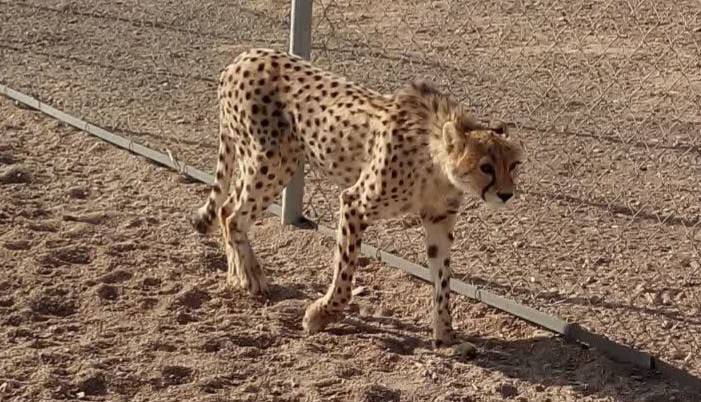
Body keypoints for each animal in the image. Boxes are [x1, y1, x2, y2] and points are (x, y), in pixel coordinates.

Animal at [194, 48, 524, 348]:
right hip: (273, 161)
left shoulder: (439, 219)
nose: (506, 194)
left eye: (513, 165)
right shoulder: (354, 203)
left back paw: (236, 275)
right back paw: (251, 277)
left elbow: (443, 280)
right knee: (233, 215)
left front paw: (445, 337)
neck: (436, 162)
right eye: (486, 167)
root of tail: (244, 56)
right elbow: (345, 271)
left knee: (226, 209)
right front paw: (321, 314)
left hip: (263, 160)